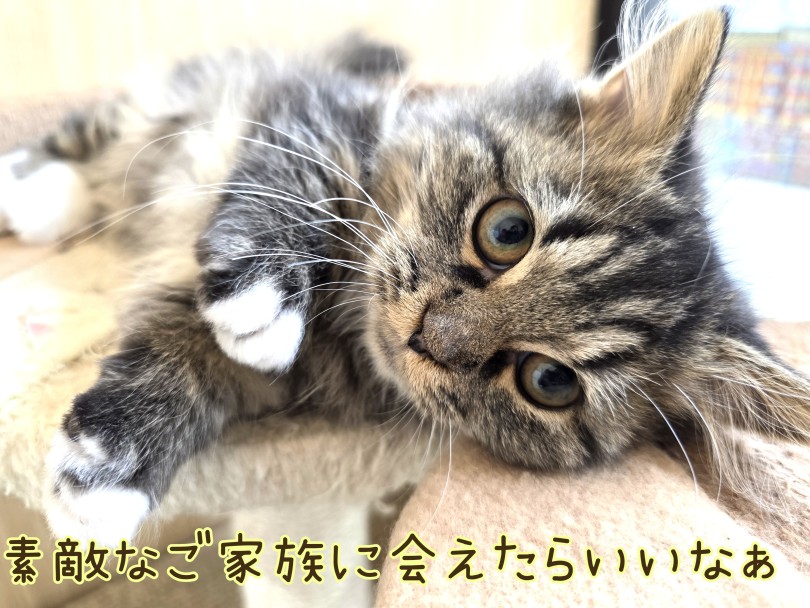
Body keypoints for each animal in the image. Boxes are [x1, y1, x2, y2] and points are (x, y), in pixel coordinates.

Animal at [0, 6, 808, 546]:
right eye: (507, 231)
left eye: (549, 382)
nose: (430, 337)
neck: (340, 310)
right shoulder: (308, 118)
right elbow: (283, 195)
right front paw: (262, 295)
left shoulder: (276, 380)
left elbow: (184, 364)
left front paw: (106, 475)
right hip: (176, 105)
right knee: (86, 135)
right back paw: (36, 197)